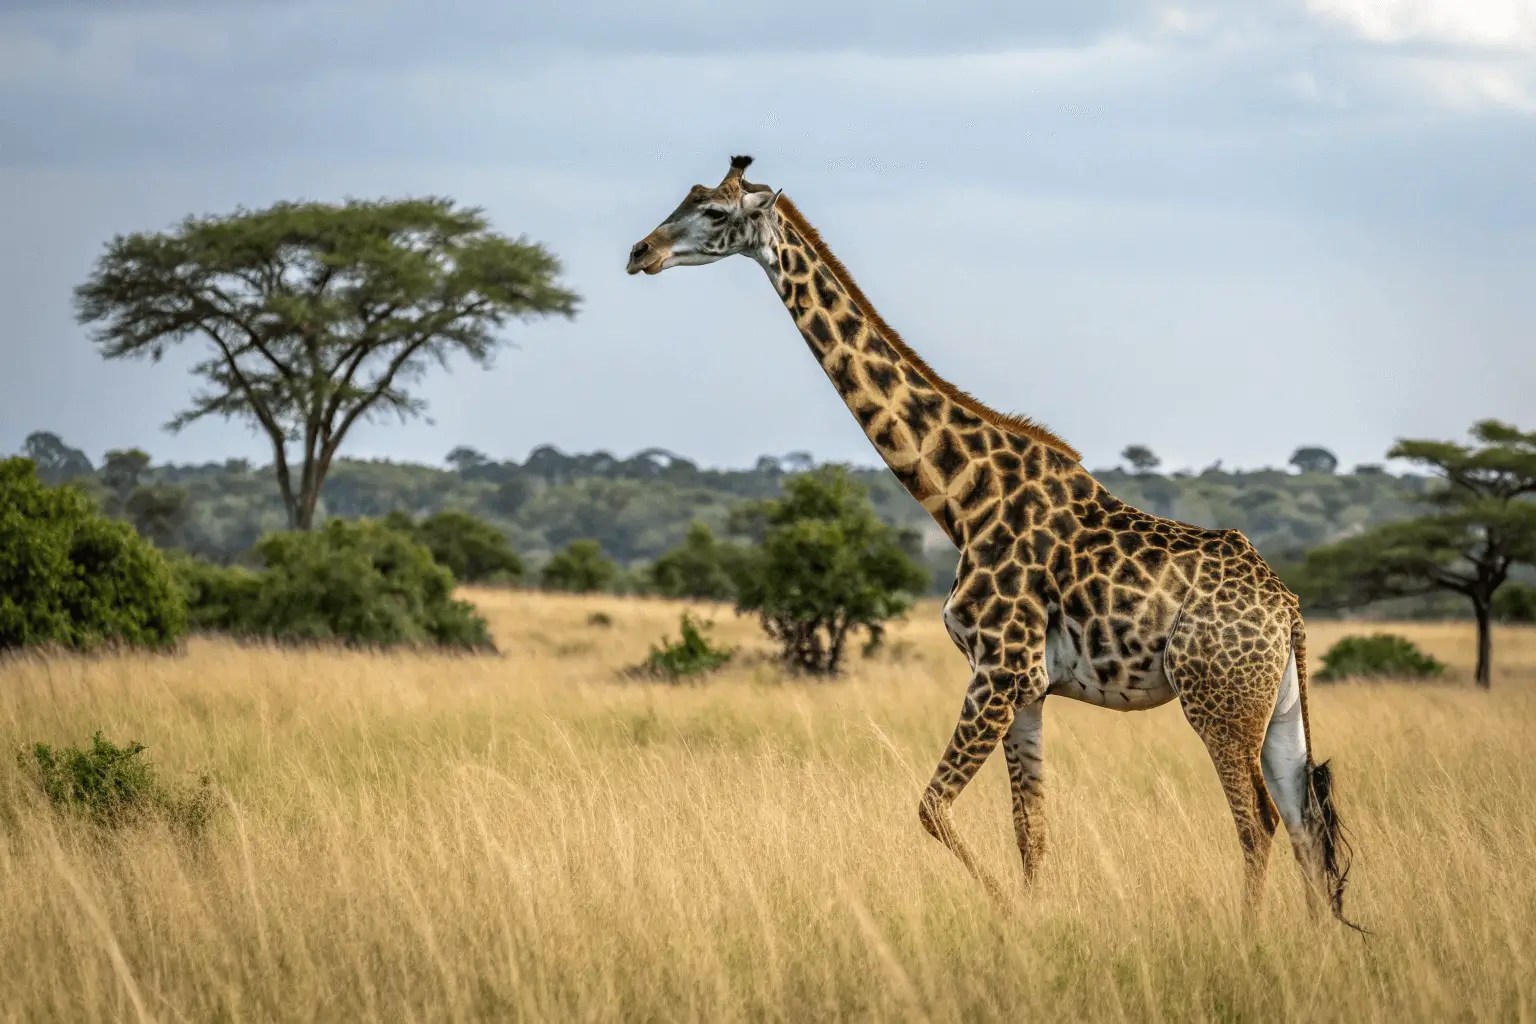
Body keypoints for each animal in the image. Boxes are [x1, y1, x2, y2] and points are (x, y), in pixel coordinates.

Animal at [626, 156, 1355, 924]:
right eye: (687, 197)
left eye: (714, 212)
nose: (640, 252)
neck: (960, 499)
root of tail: (1288, 612)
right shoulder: (1028, 689)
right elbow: (1030, 829)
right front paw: (1033, 919)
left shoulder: (999, 671)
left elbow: (932, 809)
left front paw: (1008, 914)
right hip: (1275, 708)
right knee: (1304, 821)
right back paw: (1311, 940)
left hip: (1217, 702)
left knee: (1258, 823)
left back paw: (1251, 937)